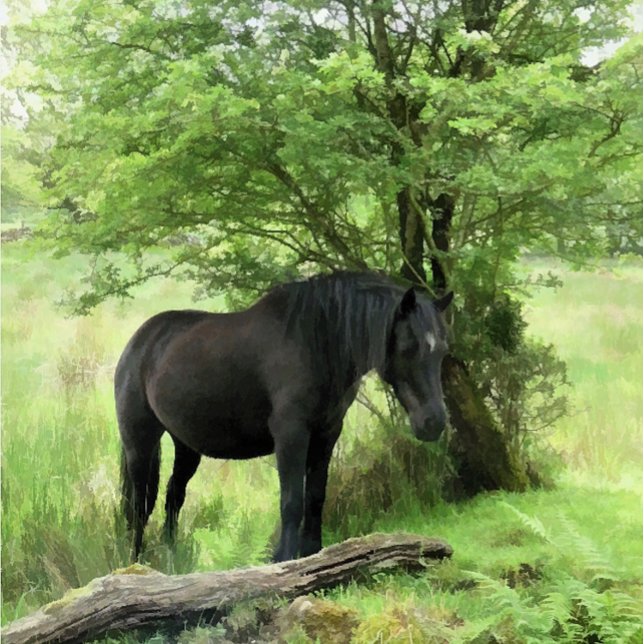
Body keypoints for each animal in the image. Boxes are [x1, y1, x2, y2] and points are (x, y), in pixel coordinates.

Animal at [115, 271, 453, 562]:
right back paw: (136, 563)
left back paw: (172, 560)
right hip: (140, 443)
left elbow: (315, 497)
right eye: (409, 347)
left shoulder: (327, 433)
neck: (317, 343)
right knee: (139, 506)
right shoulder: (291, 434)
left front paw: (313, 553)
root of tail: (139, 342)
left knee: (173, 497)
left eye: (442, 350)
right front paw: (284, 558)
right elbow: (292, 501)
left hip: (186, 446)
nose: (434, 423)